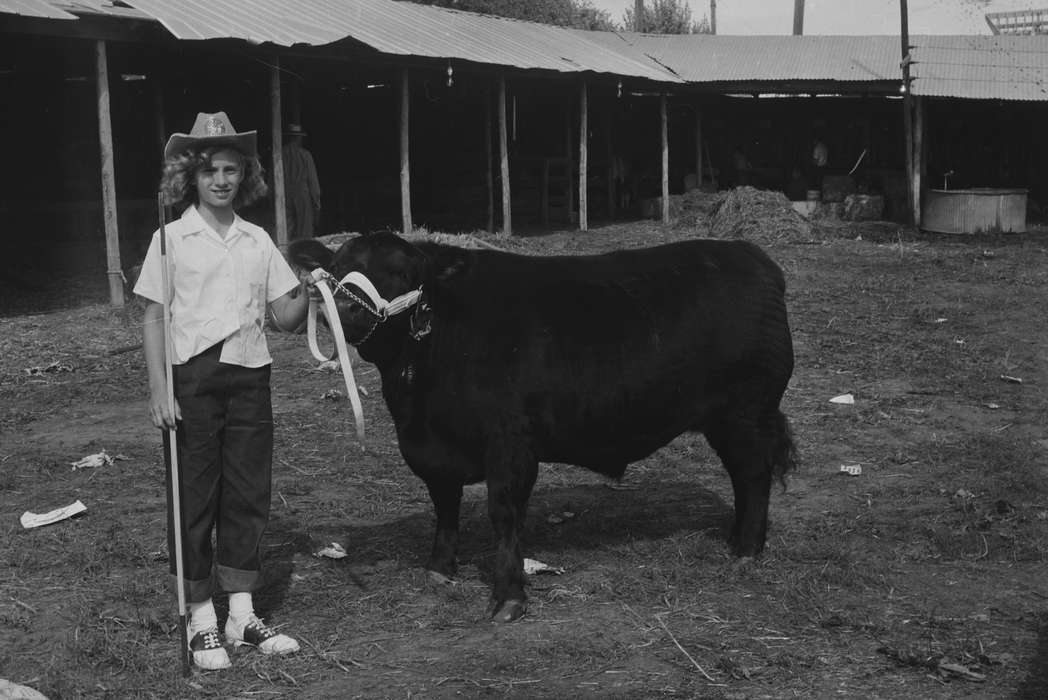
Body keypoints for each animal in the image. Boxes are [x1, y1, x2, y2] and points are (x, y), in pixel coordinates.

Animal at [288, 232, 796, 623]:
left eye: (400, 271)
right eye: (336, 269)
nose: (348, 312)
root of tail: (751, 255)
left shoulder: (510, 443)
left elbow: (504, 513)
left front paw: (508, 597)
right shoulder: (432, 451)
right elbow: (445, 507)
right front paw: (440, 568)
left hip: (747, 412)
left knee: (753, 476)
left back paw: (747, 549)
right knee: (744, 478)